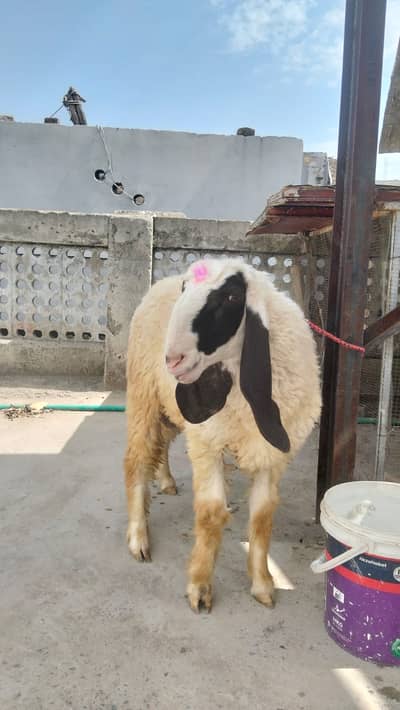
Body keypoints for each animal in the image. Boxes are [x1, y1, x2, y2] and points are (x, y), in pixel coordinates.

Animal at [124, 257, 321, 612]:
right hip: (144, 393)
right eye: (185, 289)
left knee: (162, 443)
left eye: (231, 297)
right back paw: (138, 538)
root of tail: (159, 283)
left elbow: (262, 515)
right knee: (137, 459)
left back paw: (166, 480)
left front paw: (262, 585)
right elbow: (212, 513)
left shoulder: (272, 454)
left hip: (169, 403)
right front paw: (200, 587)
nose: (172, 359)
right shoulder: (208, 441)